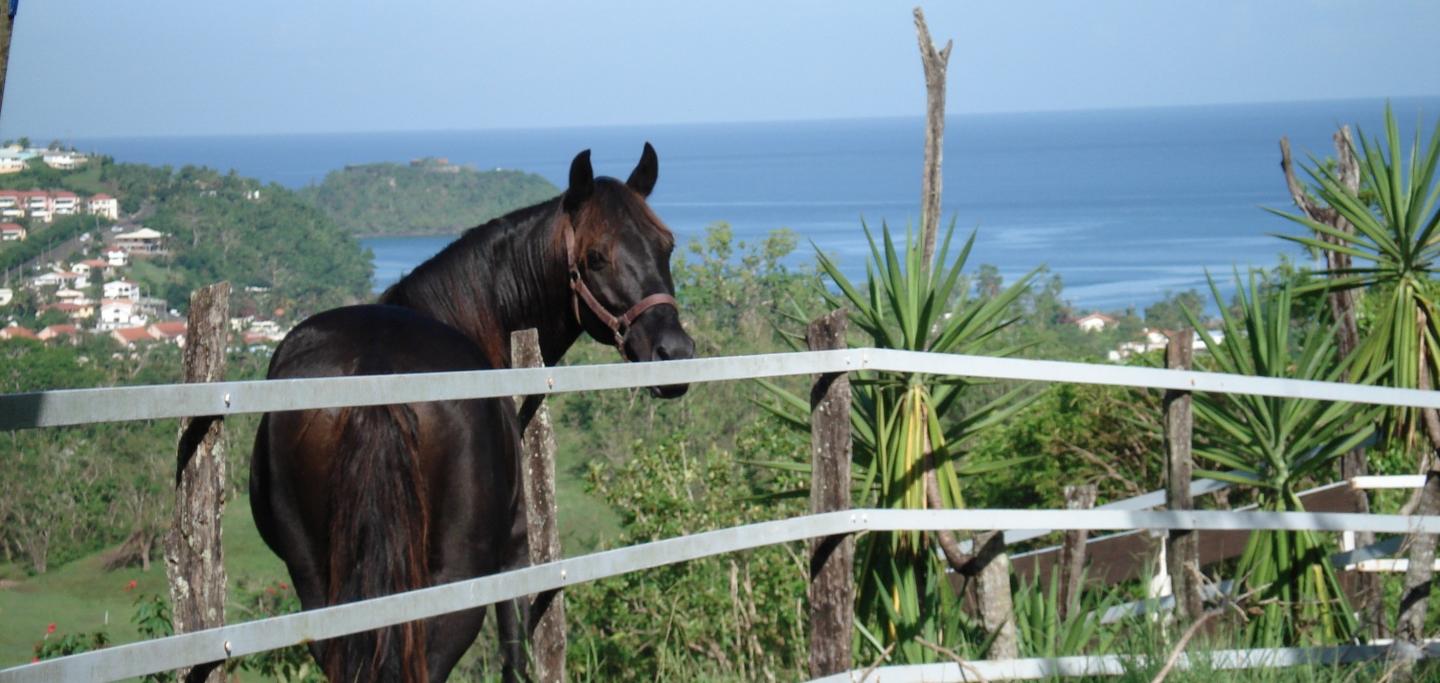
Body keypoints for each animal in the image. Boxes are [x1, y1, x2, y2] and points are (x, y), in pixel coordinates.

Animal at [250, 145, 694, 683]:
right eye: (595, 257)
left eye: (666, 246)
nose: (673, 352)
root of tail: (375, 365)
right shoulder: (514, 555)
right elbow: (514, 655)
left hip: (321, 588)